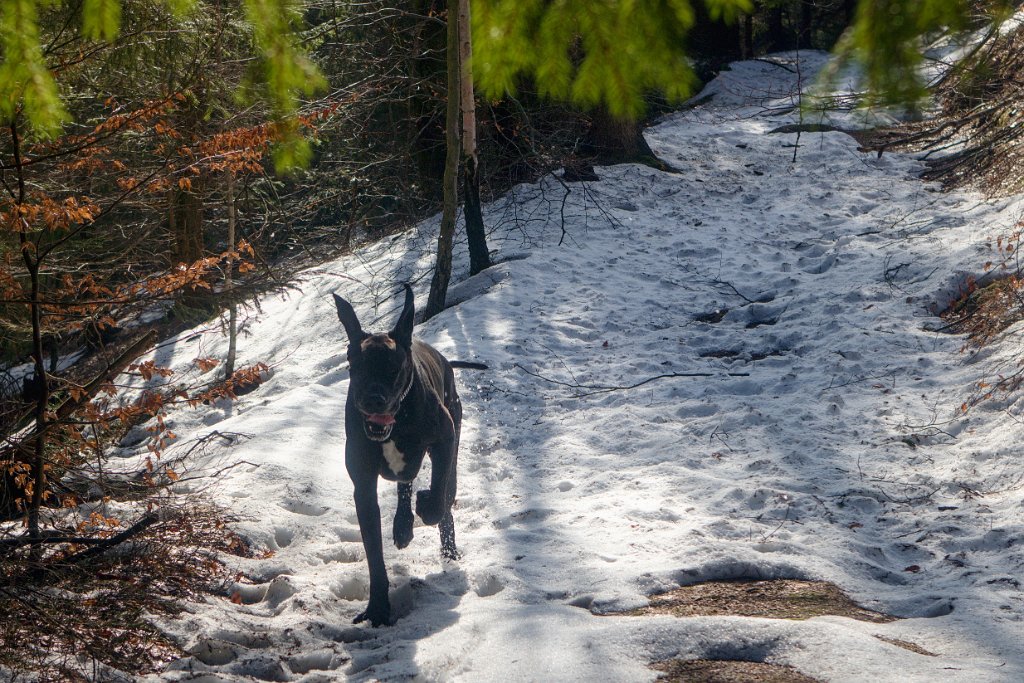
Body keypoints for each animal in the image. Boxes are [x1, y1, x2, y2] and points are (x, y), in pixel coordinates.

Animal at [331, 282, 483, 626]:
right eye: (355, 366)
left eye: (394, 368)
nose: (372, 399)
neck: (396, 423)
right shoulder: (363, 486)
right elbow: (374, 553)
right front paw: (377, 608)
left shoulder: (445, 437)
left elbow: (438, 494)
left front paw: (426, 505)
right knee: (406, 482)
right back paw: (402, 525)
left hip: (454, 427)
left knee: (446, 495)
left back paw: (444, 544)